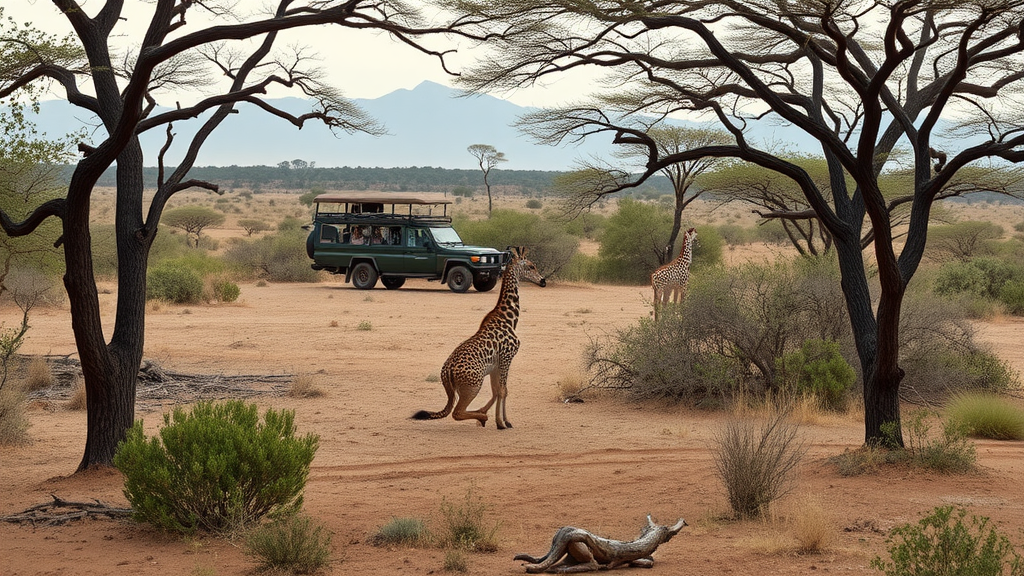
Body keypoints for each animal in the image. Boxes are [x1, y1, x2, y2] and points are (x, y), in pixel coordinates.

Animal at [411, 243, 548, 428]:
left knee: (454, 411)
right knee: (456, 412)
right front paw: (501, 422)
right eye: (531, 266)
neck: (509, 319)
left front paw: (500, 420)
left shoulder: (495, 365)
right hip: (473, 385)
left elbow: (498, 391)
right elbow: (503, 391)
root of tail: (446, 372)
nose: (543, 281)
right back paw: (482, 418)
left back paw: (481, 416)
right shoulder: (506, 358)